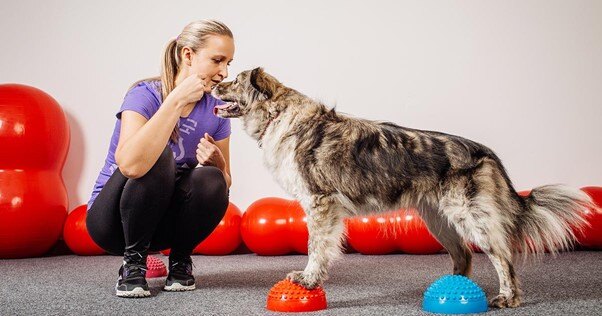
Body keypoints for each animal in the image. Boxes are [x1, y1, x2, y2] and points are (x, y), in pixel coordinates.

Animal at [210, 68, 592, 308]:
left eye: (236, 80)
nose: (214, 85)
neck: (280, 115)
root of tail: (486, 153)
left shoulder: (320, 203)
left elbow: (316, 248)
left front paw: (308, 279)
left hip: (471, 217)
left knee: (502, 257)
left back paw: (508, 298)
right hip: (438, 220)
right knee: (464, 256)